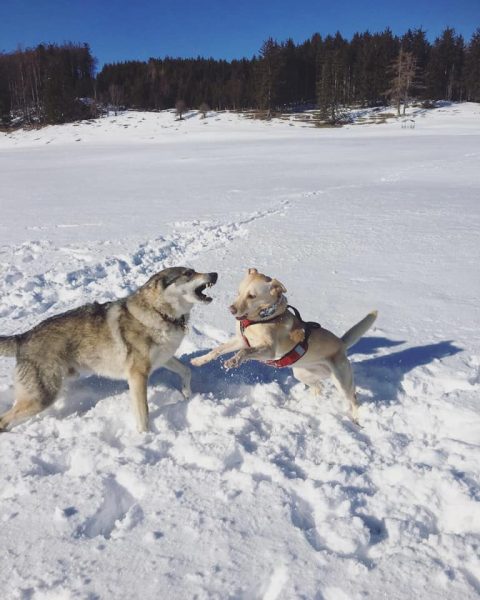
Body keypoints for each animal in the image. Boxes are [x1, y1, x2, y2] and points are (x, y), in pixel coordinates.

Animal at [191, 268, 376, 422]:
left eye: (252, 296)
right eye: (239, 292)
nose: (231, 309)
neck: (262, 317)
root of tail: (341, 342)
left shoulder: (269, 350)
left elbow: (244, 351)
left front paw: (232, 361)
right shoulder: (240, 339)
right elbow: (217, 350)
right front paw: (199, 360)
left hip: (341, 381)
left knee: (353, 398)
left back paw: (357, 419)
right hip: (302, 373)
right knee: (319, 387)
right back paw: (311, 403)